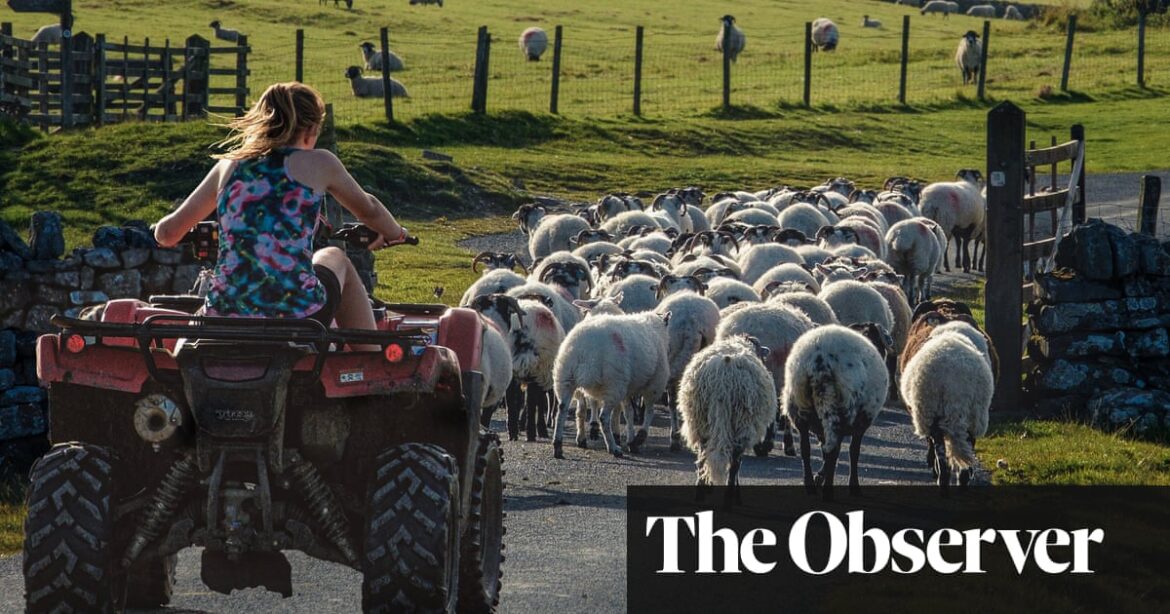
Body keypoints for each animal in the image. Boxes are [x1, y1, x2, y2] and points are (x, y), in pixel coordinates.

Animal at [552, 308, 673, 456]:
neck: (657, 329)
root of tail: (585, 350)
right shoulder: (655, 385)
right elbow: (649, 412)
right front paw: (639, 438)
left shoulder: (628, 389)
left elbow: (629, 413)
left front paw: (631, 441)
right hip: (614, 384)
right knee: (603, 417)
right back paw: (613, 447)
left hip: (565, 378)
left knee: (563, 409)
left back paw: (559, 445)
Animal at [678, 334, 776, 502]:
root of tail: (722, 379)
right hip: (741, 420)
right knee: (735, 462)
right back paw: (730, 497)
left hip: (701, 418)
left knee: (703, 456)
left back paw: (701, 490)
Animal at [781, 320, 889, 498]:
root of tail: (820, 362)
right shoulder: (861, 422)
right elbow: (853, 452)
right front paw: (853, 486)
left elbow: (824, 452)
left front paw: (819, 477)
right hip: (842, 407)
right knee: (834, 450)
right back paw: (828, 490)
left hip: (799, 406)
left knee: (806, 449)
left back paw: (810, 484)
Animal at [898, 329, 992, 493]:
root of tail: (954, 384)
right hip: (972, 417)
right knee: (964, 459)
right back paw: (963, 482)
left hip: (932, 413)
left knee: (942, 459)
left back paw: (942, 482)